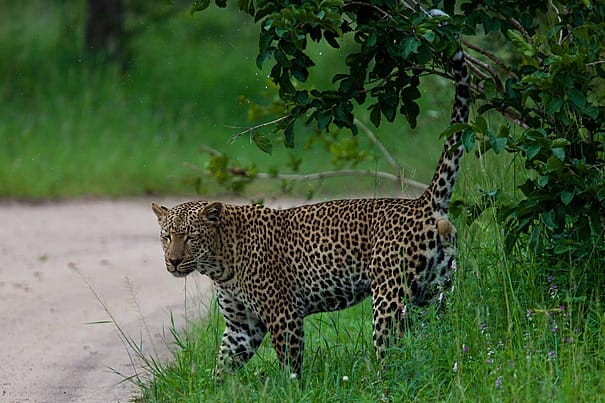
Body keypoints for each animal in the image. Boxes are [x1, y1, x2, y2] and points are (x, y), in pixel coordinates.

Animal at [152, 46, 472, 378]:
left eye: (191, 237)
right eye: (166, 237)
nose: (173, 261)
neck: (219, 265)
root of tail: (423, 202)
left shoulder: (283, 313)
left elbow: (289, 365)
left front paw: (287, 386)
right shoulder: (242, 326)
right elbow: (222, 367)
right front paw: (213, 387)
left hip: (390, 297)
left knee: (390, 353)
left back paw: (382, 380)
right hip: (437, 291)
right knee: (444, 329)